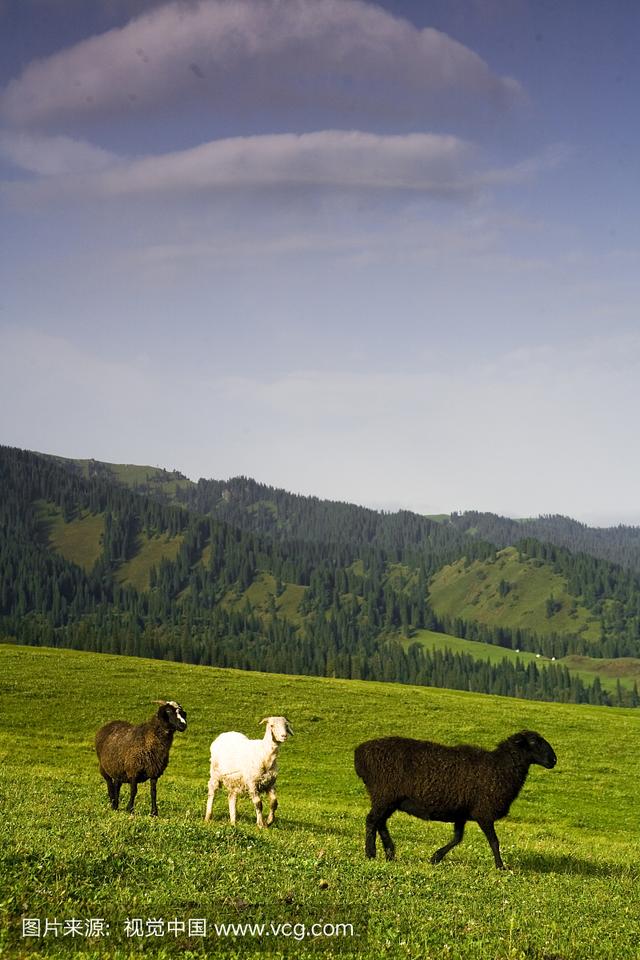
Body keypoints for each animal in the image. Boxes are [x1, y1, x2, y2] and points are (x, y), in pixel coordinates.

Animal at [352, 728, 556, 872]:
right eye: (533, 741)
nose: (554, 760)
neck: (500, 767)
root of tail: (360, 752)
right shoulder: (484, 812)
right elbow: (494, 842)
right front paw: (500, 866)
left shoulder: (461, 813)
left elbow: (457, 838)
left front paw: (435, 857)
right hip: (384, 795)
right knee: (372, 821)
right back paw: (371, 853)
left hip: (387, 799)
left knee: (380, 822)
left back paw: (390, 852)